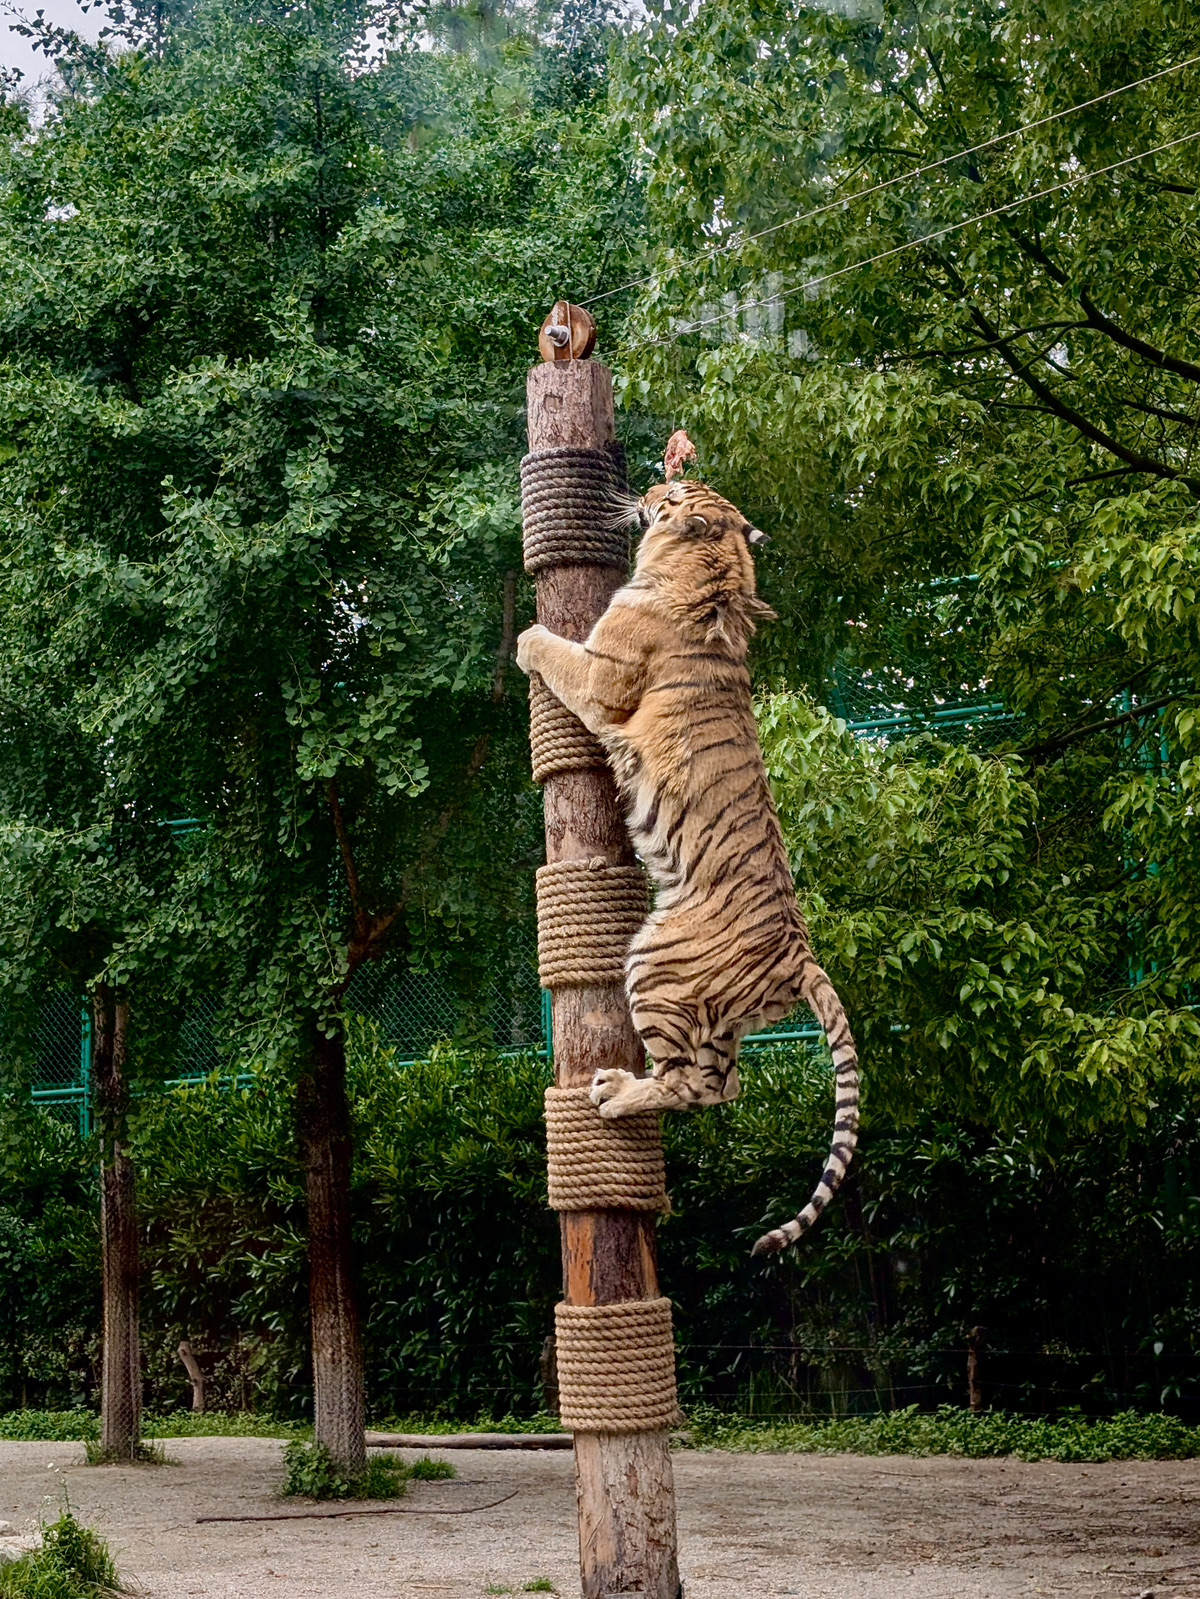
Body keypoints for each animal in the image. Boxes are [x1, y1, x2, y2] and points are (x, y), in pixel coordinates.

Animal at [515, 477, 859, 1254]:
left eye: (673, 493)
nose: (647, 485)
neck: (717, 570)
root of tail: (801, 953)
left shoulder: (602, 675)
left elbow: (554, 651)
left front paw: (524, 638)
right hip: (718, 1017)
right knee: (724, 1086)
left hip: (655, 962)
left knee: (689, 1084)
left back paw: (615, 1093)